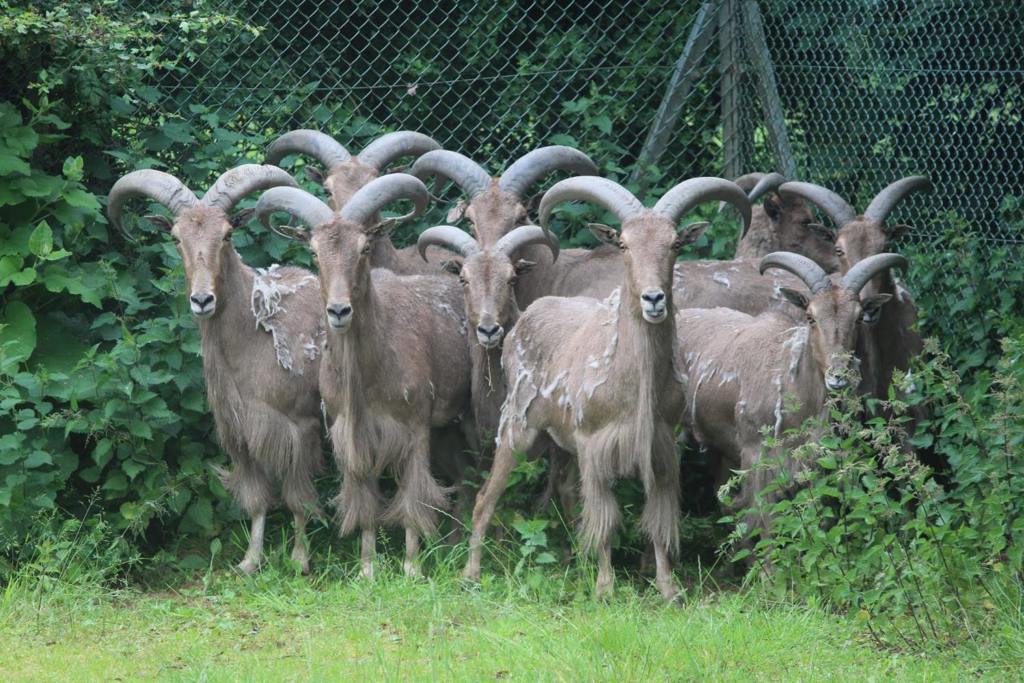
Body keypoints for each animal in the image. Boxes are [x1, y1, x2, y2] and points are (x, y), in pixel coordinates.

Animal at [108, 165, 323, 577]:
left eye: (226, 234)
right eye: (176, 237)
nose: (202, 299)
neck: (256, 335)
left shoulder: (299, 427)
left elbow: (297, 497)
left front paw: (300, 560)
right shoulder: (239, 431)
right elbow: (256, 498)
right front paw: (250, 561)